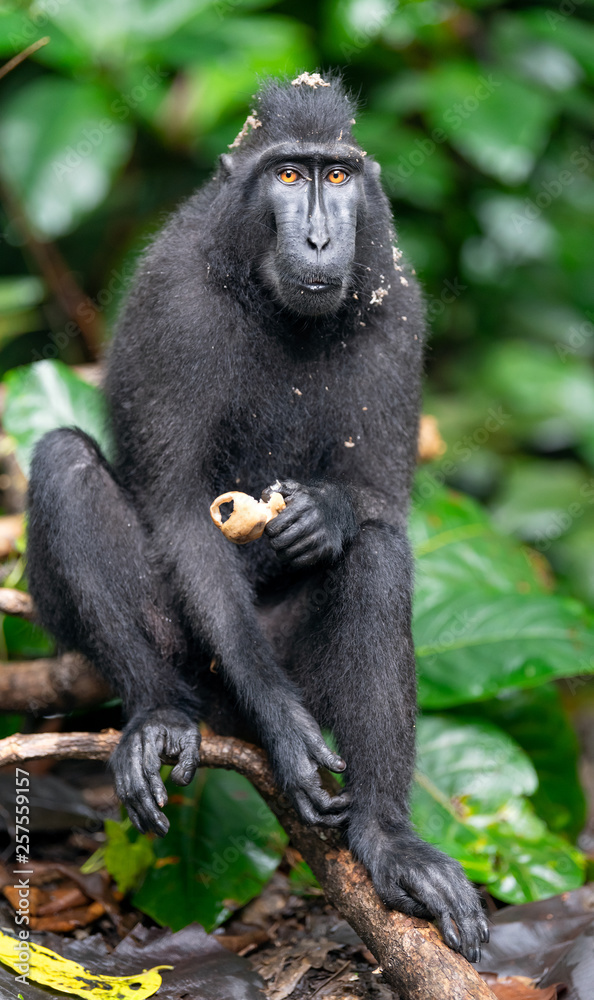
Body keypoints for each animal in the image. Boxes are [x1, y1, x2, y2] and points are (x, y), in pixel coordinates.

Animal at [26, 72, 489, 961]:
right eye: (287, 176)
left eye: (336, 176)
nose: (318, 239)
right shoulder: (177, 304)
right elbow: (179, 510)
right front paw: (283, 724)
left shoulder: (399, 304)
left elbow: (381, 502)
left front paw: (327, 514)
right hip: (195, 662)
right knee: (65, 464)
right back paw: (160, 718)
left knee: (379, 553)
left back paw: (387, 839)